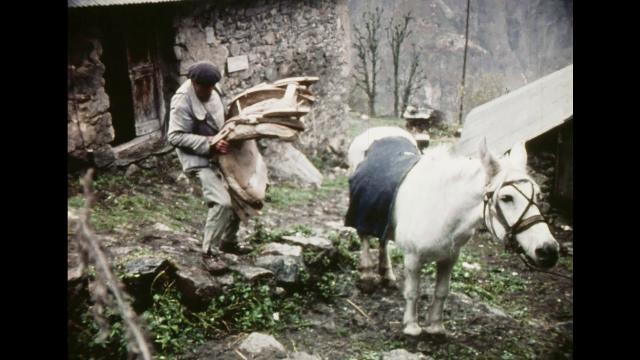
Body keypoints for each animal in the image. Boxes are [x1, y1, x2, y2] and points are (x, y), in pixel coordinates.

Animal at [348, 127, 556, 338]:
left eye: (539, 195)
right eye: (506, 198)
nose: (548, 251)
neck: (442, 207)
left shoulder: (449, 258)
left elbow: (442, 292)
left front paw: (435, 327)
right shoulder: (413, 258)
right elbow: (413, 292)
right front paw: (412, 326)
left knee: (382, 240)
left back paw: (387, 275)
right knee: (364, 237)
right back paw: (367, 277)